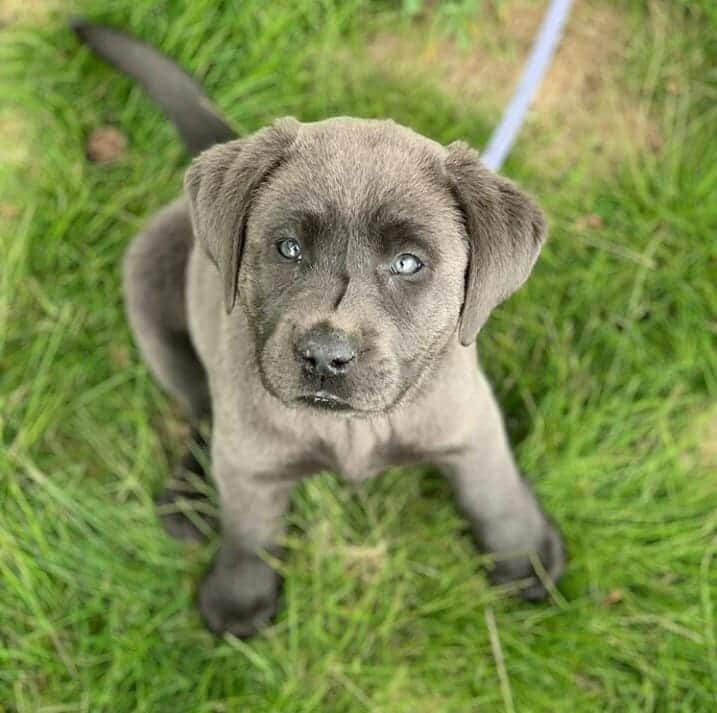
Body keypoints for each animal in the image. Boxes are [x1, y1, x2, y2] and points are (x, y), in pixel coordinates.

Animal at [72, 20, 564, 636]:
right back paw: (189, 497)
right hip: (149, 283)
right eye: (288, 248)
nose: (326, 357)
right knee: (201, 409)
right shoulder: (250, 459)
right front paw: (239, 596)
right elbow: (250, 528)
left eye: (408, 262)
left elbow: (493, 491)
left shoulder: (470, 420)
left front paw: (525, 557)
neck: (354, 430)